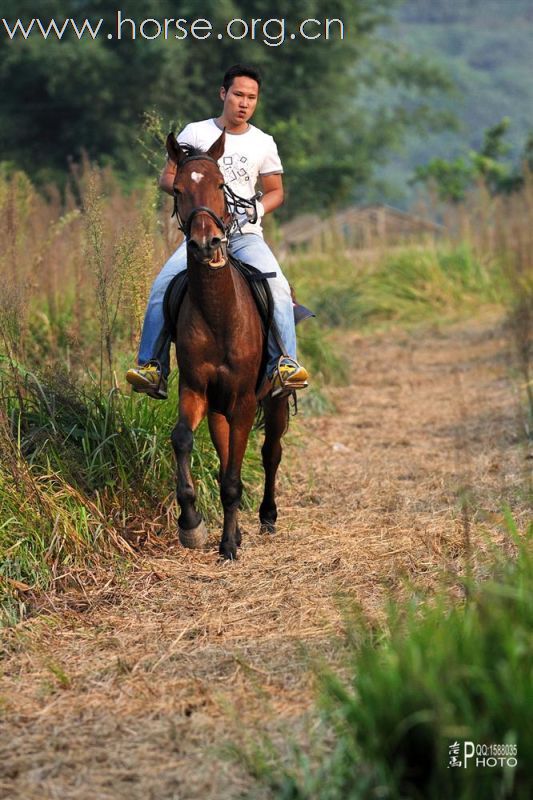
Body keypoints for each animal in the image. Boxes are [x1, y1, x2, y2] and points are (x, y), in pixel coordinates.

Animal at [167, 128, 288, 560]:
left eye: (221, 185)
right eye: (178, 189)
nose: (207, 243)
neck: (219, 313)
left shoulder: (244, 401)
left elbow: (236, 477)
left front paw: (230, 546)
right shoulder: (196, 389)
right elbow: (183, 439)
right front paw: (191, 524)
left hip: (276, 400)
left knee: (271, 452)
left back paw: (268, 517)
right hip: (219, 409)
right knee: (224, 459)